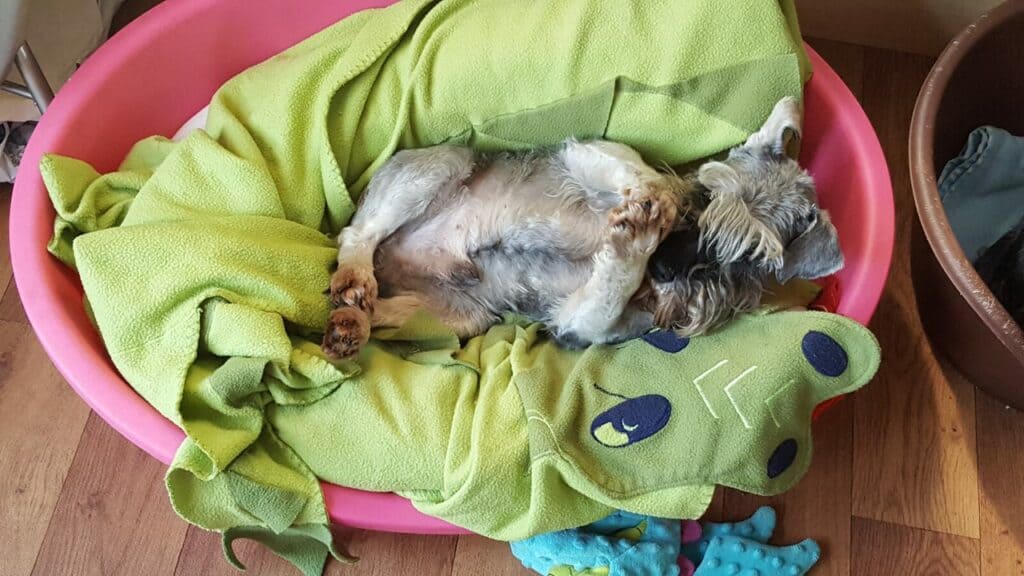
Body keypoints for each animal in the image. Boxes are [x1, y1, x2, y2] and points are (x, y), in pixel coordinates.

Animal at [323, 98, 843, 358]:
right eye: (707, 195)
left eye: (752, 257)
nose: (666, 269)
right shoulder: (593, 153)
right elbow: (653, 183)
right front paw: (645, 219)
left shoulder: (579, 322)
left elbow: (605, 291)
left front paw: (632, 242)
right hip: (434, 170)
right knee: (358, 237)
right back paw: (354, 280)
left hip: (462, 316)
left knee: (382, 311)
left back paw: (351, 322)